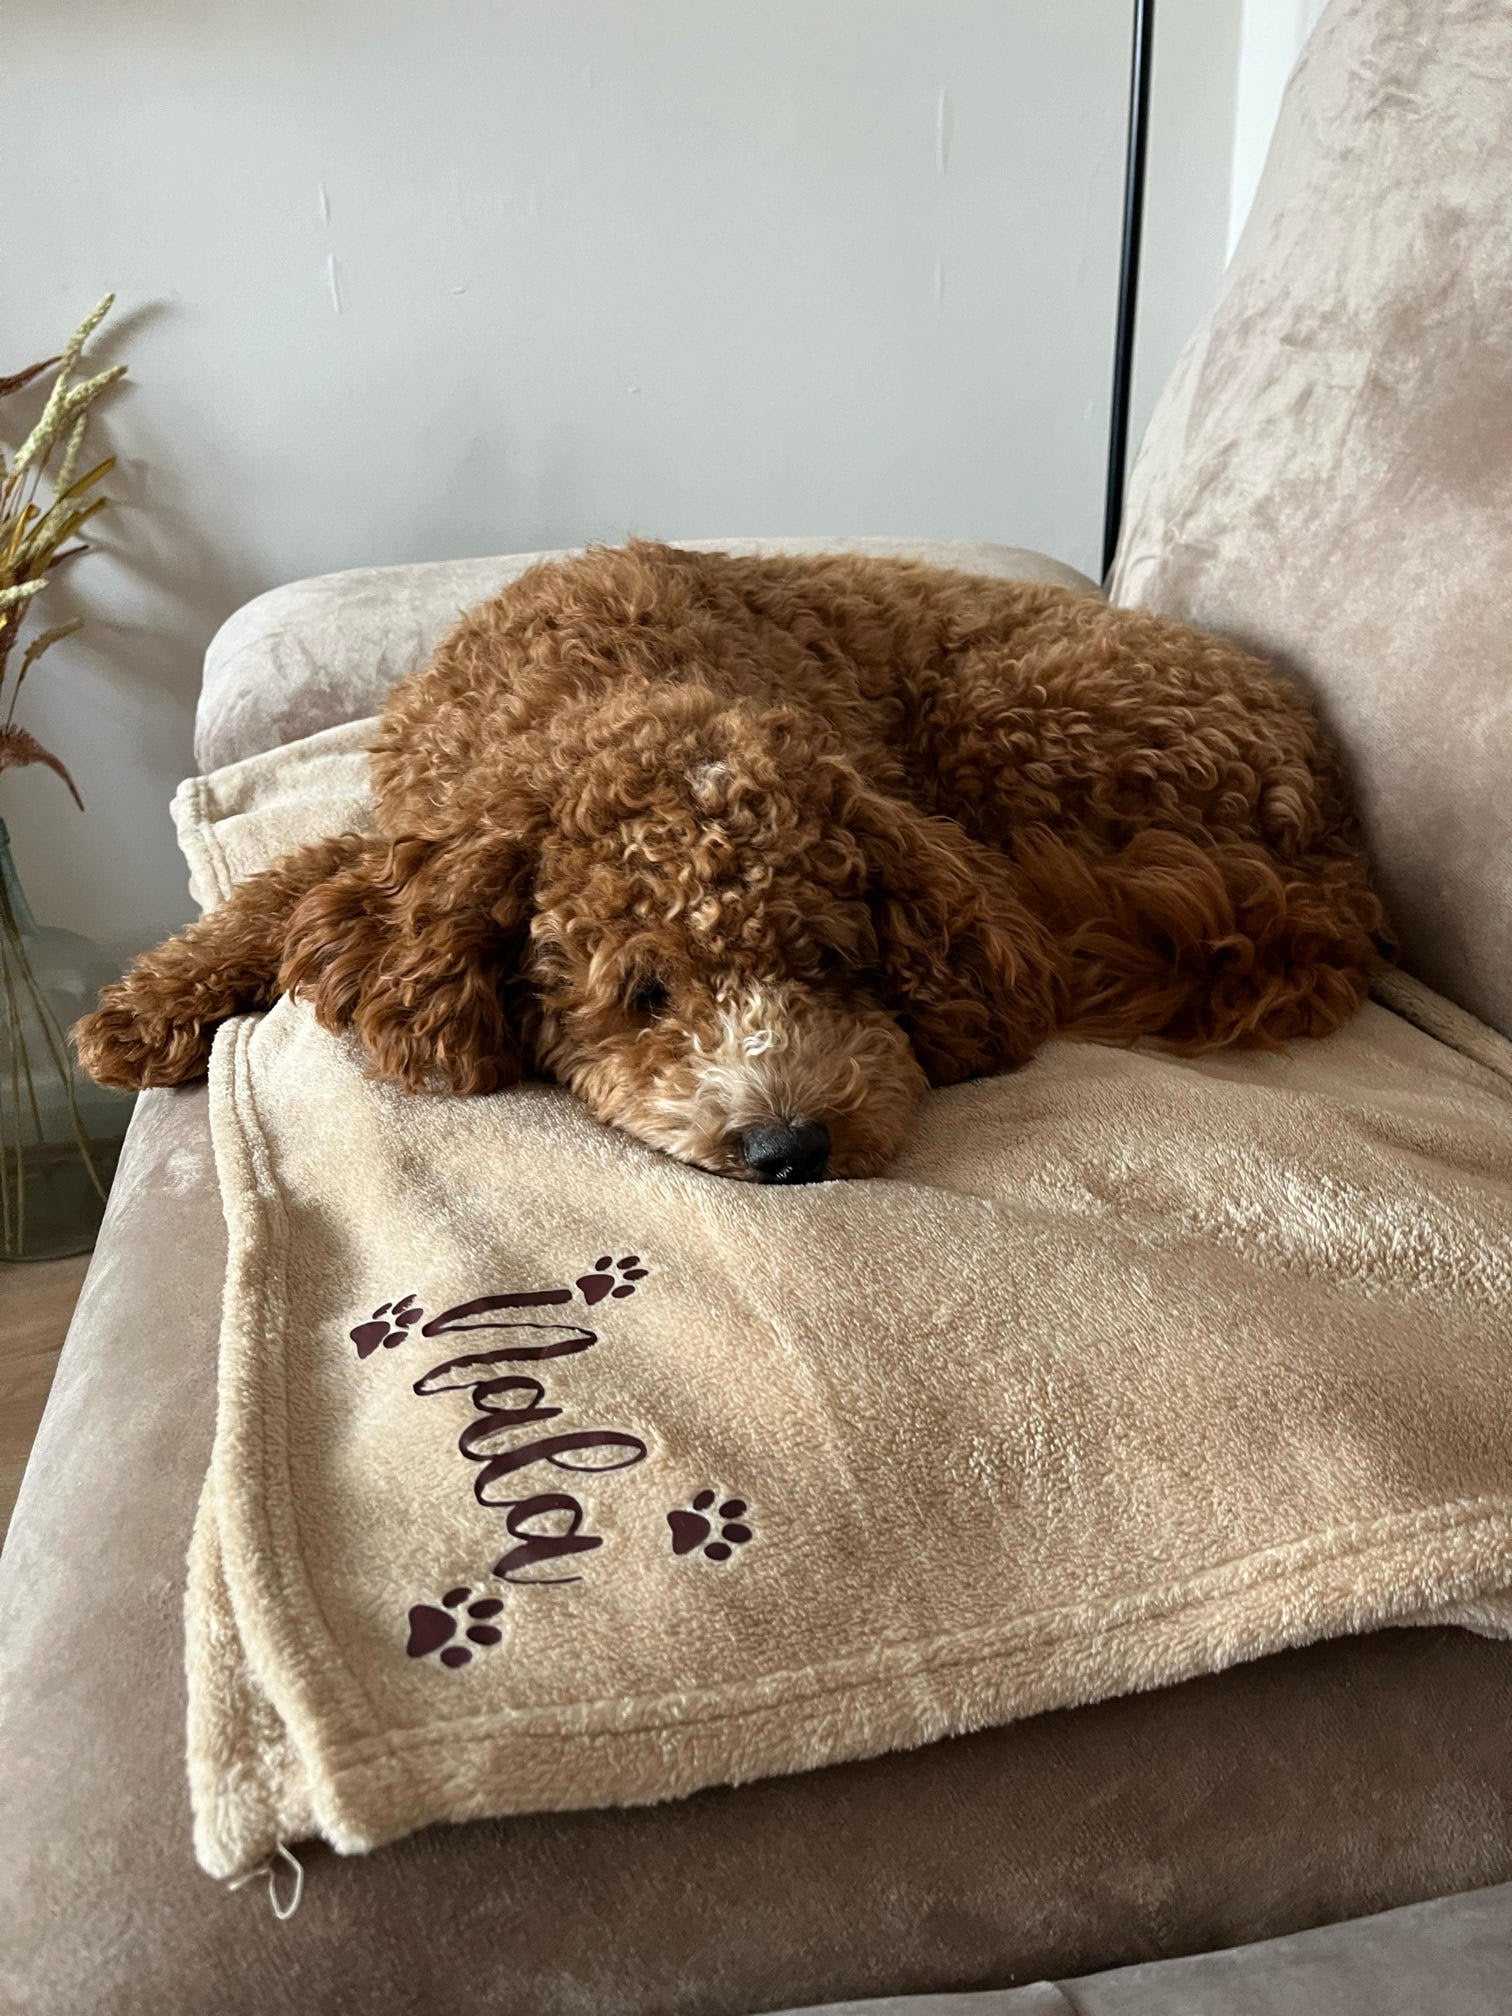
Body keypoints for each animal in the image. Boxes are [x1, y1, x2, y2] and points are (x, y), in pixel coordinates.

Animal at [80, 544, 1387, 1185]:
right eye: (643, 993)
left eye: (836, 964)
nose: (790, 1149)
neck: (611, 686)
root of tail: (1335, 831)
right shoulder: (417, 832)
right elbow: (281, 887)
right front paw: (147, 1009)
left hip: (1015, 722)